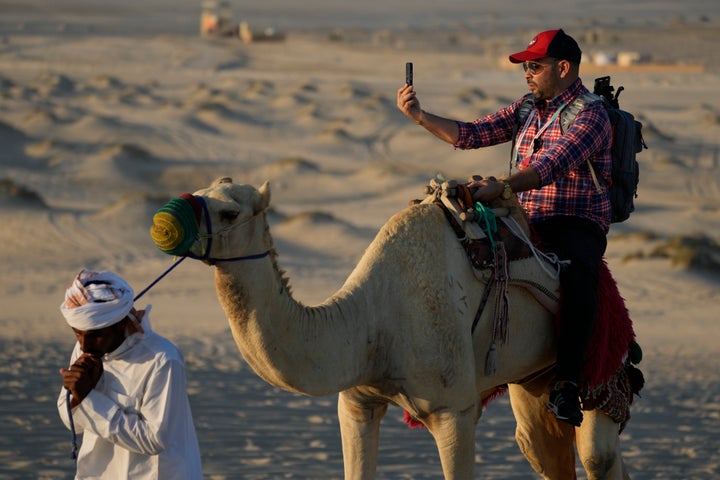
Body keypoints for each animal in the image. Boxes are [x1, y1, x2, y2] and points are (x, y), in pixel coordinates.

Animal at [150, 177, 632, 480]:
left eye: (229, 212)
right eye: (200, 191)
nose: (162, 222)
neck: (373, 320)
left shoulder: (455, 410)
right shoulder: (357, 402)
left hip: (601, 359)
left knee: (598, 458)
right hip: (532, 380)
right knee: (545, 451)